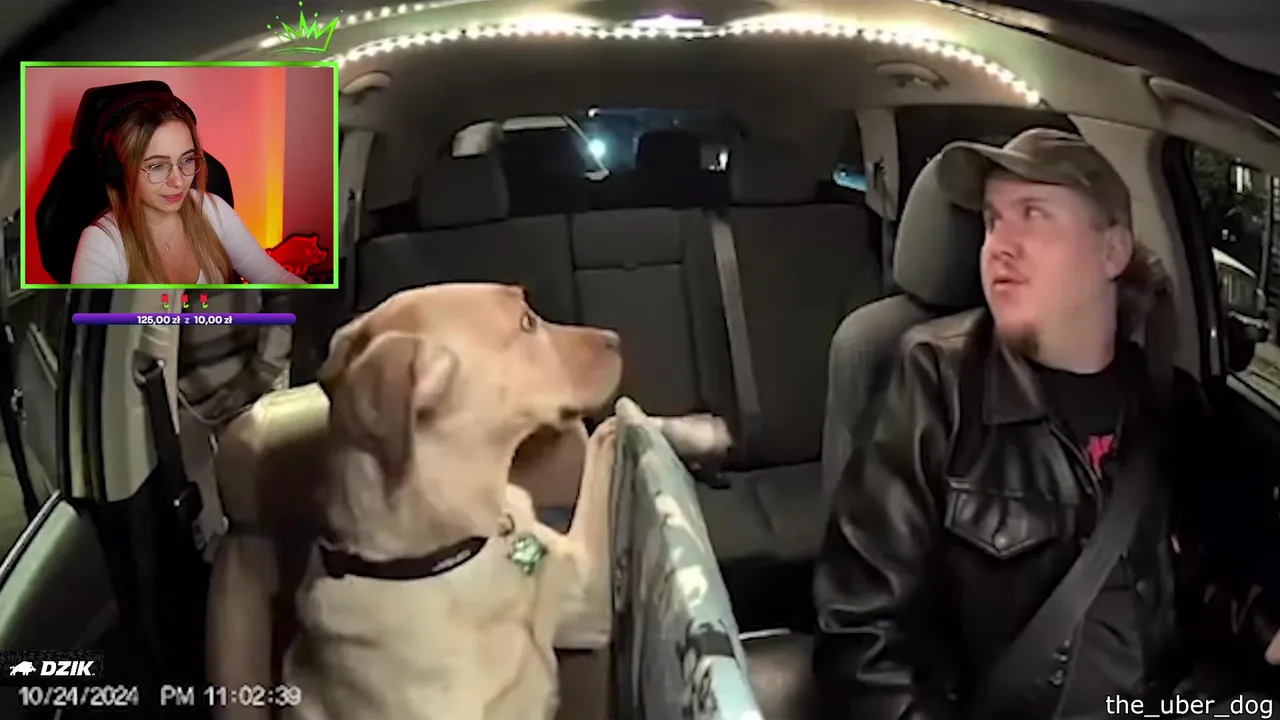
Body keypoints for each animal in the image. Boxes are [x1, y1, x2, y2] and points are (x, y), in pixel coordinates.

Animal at [281, 283, 729, 720]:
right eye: (527, 323)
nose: (614, 338)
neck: (466, 548)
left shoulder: (589, 602)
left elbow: (613, 422)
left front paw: (695, 431)